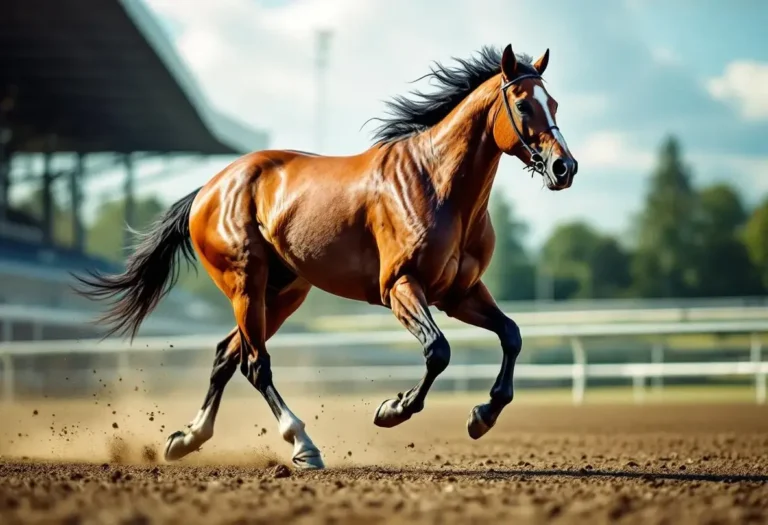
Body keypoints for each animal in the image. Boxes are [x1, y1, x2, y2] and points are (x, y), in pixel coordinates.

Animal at [75, 43, 578, 470]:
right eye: (523, 105)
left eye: (554, 104)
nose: (564, 168)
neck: (439, 186)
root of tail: (210, 188)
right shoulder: (400, 287)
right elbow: (438, 351)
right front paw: (392, 409)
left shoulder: (460, 293)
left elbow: (511, 335)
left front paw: (482, 414)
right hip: (245, 284)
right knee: (256, 364)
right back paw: (303, 444)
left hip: (281, 294)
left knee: (226, 357)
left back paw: (187, 439)